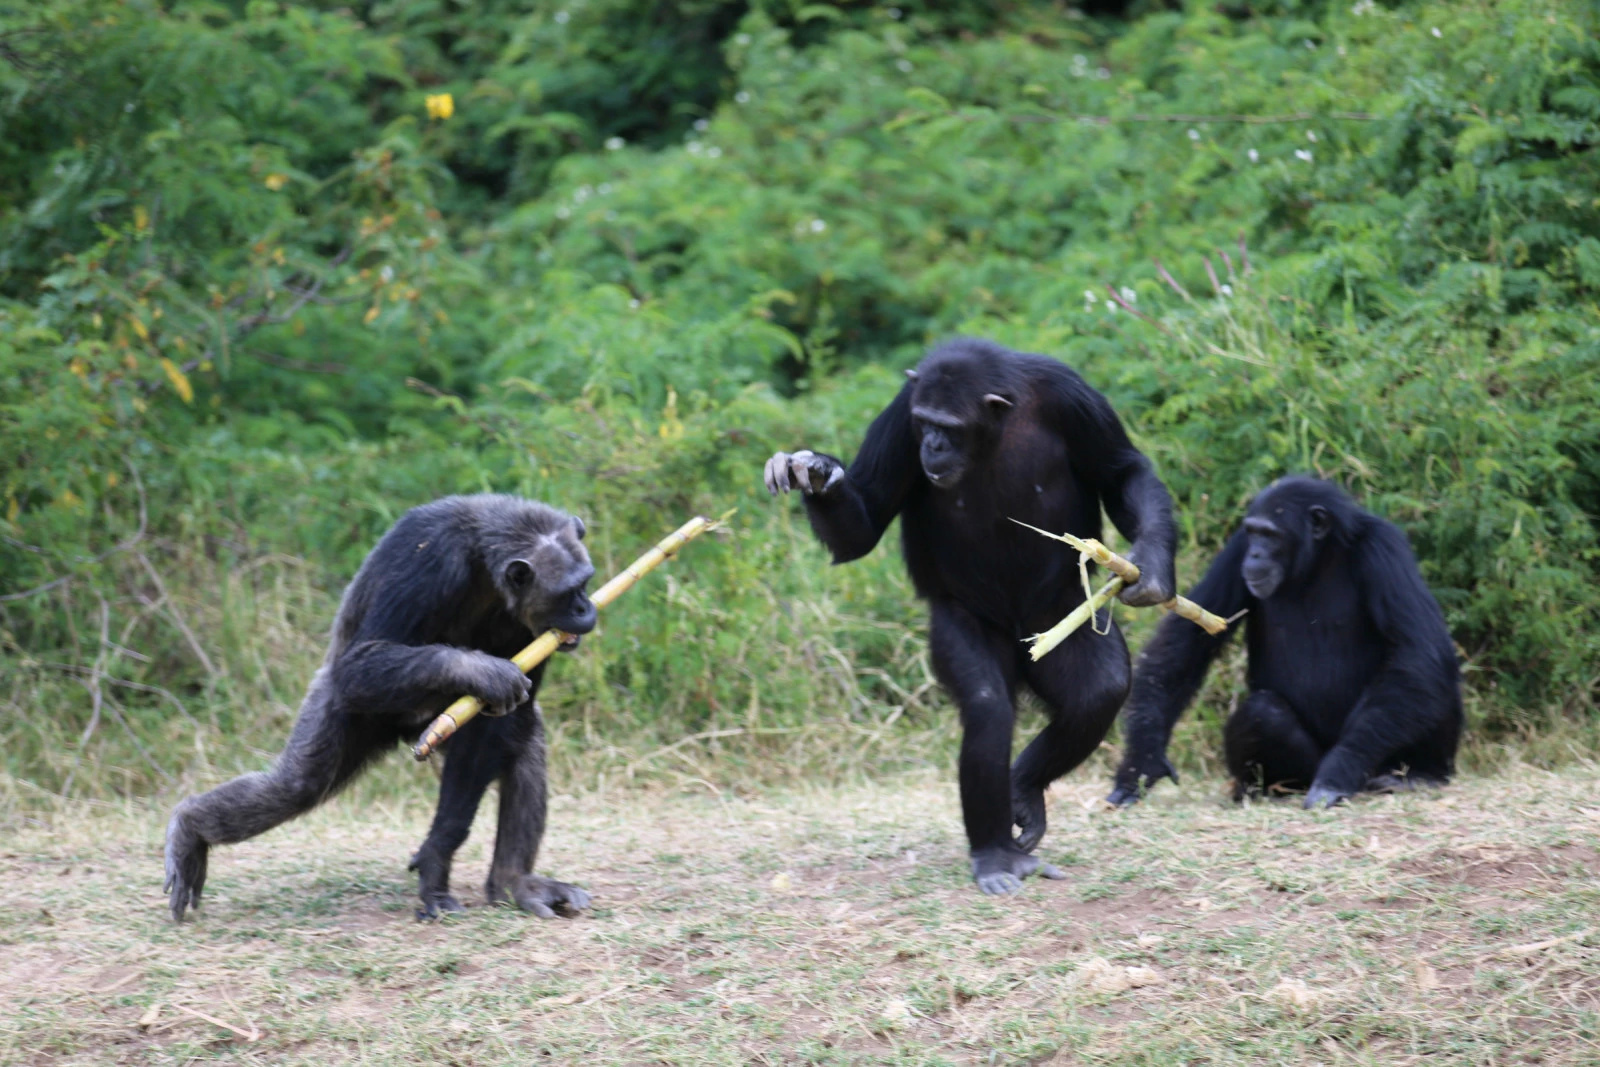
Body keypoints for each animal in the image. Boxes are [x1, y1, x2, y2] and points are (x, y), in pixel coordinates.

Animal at [164, 495, 601, 921]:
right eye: (569, 591)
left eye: (586, 582)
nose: (586, 607)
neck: (484, 567)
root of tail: (405, 733)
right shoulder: (425, 563)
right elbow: (363, 660)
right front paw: (483, 672)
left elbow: (503, 717)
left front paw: (437, 854)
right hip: (343, 709)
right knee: (298, 785)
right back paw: (189, 831)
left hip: (430, 728)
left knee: (523, 743)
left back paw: (514, 883)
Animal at [761, 340, 1177, 895]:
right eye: (924, 423)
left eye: (950, 427)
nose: (934, 445)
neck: (995, 430)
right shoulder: (900, 413)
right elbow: (865, 523)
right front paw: (817, 475)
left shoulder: (1075, 399)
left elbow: (1122, 471)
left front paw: (1150, 567)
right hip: (968, 624)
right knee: (987, 709)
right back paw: (996, 855)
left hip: (1060, 616)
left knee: (1100, 689)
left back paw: (1023, 789)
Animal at [1113, 476, 1465, 809]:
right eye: (1253, 532)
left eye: (1270, 535)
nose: (1256, 553)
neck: (1317, 560)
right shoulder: (1236, 551)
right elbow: (1185, 645)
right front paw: (1140, 765)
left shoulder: (1384, 548)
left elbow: (1419, 651)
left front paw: (1338, 771)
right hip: (1303, 768)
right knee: (1263, 713)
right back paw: (1261, 789)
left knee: (1423, 678)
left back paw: (1420, 775)